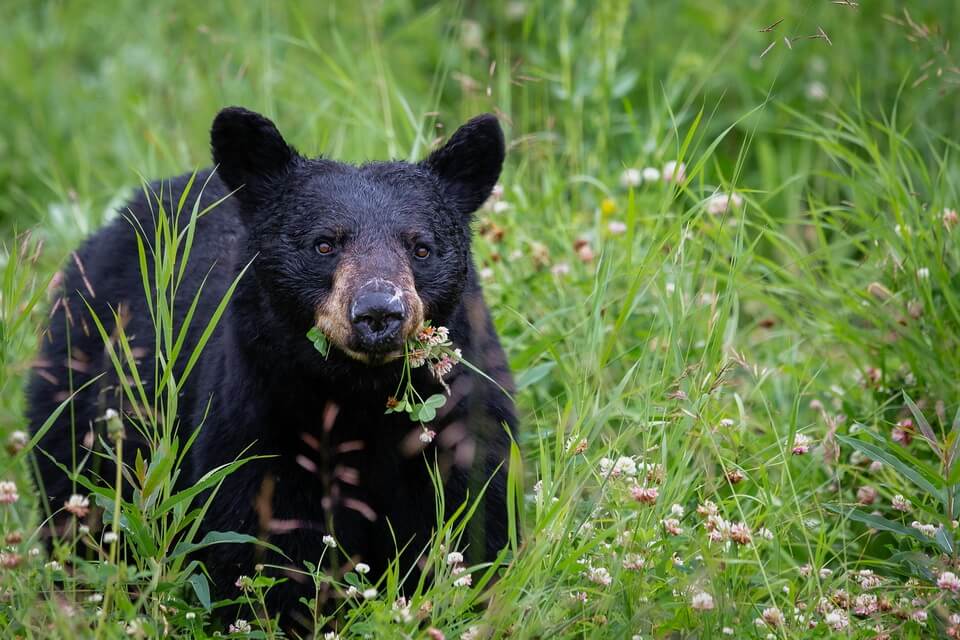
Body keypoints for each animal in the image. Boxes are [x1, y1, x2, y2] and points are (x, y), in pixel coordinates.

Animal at [26, 106, 512, 632]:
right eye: (324, 244)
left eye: (420, 247)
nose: (379, 312)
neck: (358, 395)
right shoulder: (257, 417)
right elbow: (261, 542)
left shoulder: (461, 417)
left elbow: (472, 522)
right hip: (78, 386)